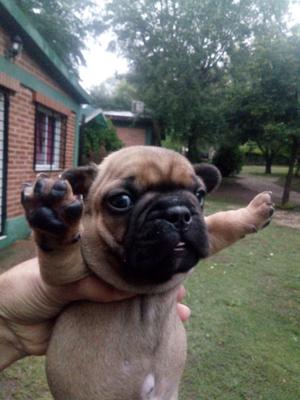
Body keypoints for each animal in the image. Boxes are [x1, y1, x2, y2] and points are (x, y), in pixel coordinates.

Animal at [21, 146, 274, 400]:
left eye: (200, 194)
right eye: (121, 201)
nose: (178, 212)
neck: (146, 288)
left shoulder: (208, 235)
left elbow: (220, 223)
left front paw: (253, 213)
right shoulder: (67, 278)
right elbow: (60, 253)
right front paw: (54, 214)